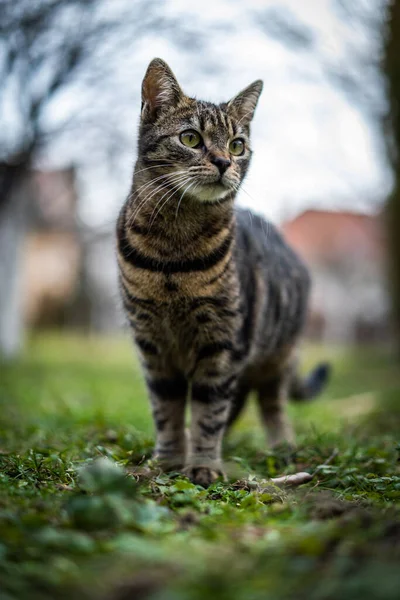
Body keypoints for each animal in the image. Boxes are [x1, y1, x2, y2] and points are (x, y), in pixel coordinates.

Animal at [115, 57, 328, 488]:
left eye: (236, 145)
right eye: (191, 138)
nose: (224, 162)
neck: (173, 256)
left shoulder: (222, 342)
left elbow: (209, 411)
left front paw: (202, 464)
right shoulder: (152, 344)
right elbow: (166, 408)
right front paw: (168, 461)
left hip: (275, 356)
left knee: (269, 403)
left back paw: (281, 448)